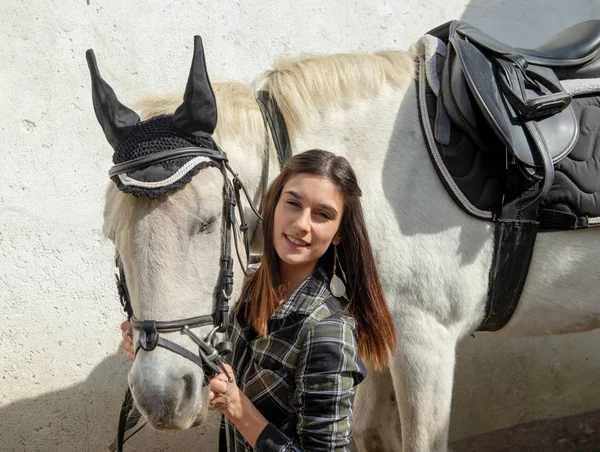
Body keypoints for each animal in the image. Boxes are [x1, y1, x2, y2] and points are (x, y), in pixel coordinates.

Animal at [103, 44, 600, 450]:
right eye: (112, 237)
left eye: (207, 223)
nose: (161, 397)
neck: (380, 181)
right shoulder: (376, 330)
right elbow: (370, 432)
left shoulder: (425, 341)